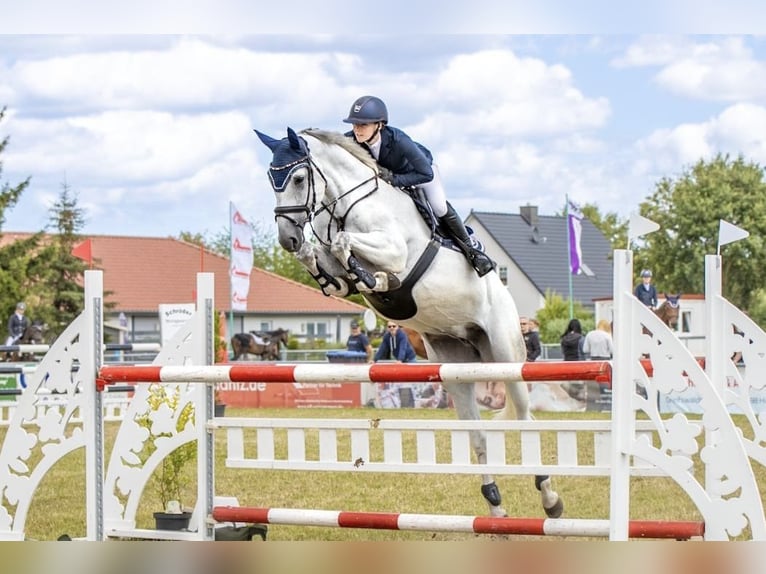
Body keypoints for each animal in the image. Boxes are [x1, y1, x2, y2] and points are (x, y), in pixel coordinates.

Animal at [258, 127, 564, 520]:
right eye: (272, 180)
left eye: (298, 178)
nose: (288, 238)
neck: (345, 204)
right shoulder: (336, 271)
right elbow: (324, 262)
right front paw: (345, 269)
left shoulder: (395, 250)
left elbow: (347, 244)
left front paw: (376, 279)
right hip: (455, 367)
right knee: (477, 433)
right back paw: (495, 506)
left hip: (507, 355)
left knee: (526, 421)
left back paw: (550, 498)